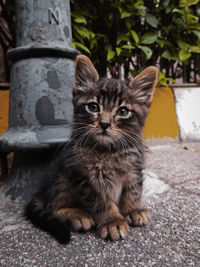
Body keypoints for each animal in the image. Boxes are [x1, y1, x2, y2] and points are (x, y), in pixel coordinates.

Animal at [25, 55, 159, 244]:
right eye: (93, 107)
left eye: (123, 111)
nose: (104, 124)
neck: (108, 151)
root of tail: (42, 192)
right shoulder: (82, 175)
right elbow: (100, 202)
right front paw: (113, 221)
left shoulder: (134, 167)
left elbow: (133, 190)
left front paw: (132, 210)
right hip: (61, 177)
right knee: (53, 207)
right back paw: (77, 215)